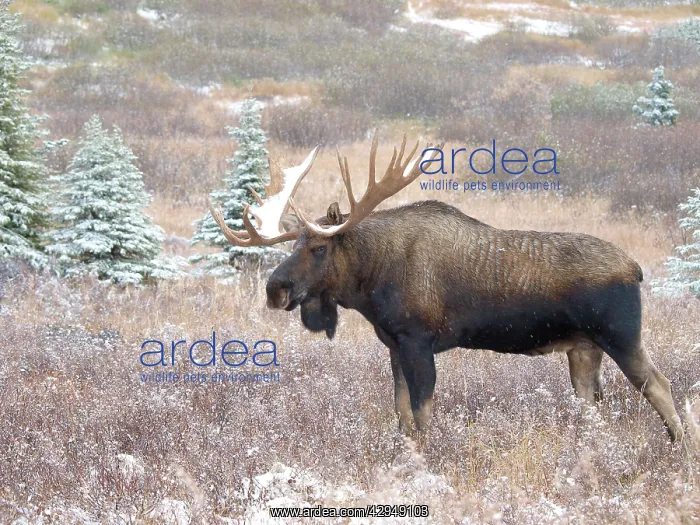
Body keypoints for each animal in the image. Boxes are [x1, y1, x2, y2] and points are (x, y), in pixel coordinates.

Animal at [208, 131, 684, 442]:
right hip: (583, 351)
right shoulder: (394, 345)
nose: (275, 289)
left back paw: (679, 448)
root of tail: (636, 268)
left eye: (319, 247)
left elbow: (423, 415)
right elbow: (402, 415)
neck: (371, 280)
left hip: (621, 336)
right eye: (294, 243)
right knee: (593, 407)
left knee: (661, 386)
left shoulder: (419, 340)